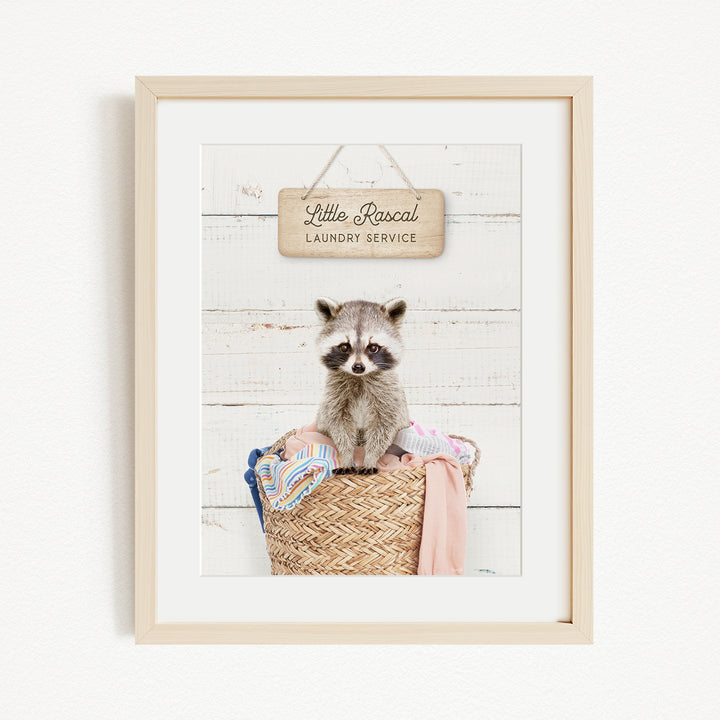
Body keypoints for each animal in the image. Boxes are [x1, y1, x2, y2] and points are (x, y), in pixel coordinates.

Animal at [315, 297, 411, 469]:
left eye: (373, 347)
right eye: (344, 347)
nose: (358, 367)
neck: (360, 377)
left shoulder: (388, 393)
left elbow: (384, 425)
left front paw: (371, 457)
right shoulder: (335, 394)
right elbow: (339, 424)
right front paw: (346, 455)